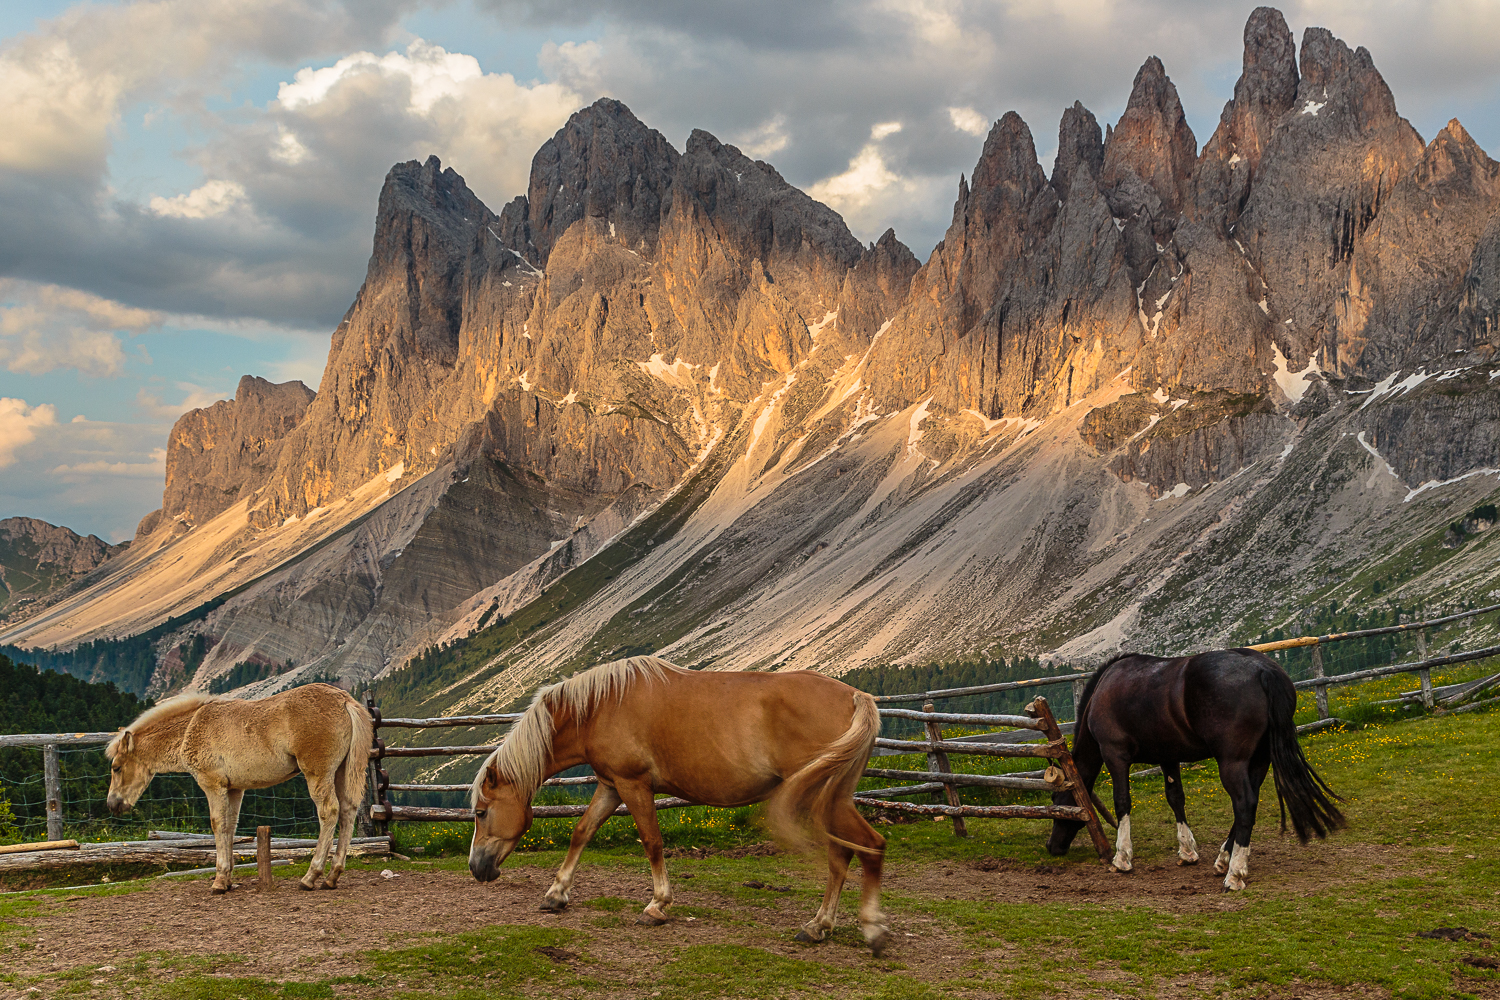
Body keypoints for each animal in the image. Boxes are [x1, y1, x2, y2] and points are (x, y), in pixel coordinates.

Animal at [105, 683, 373, 893]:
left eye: (116, 768)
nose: (112, 804)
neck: (191, 728)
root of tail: (344, 700)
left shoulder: (212, 785)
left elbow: (218, 824)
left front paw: (219, 881)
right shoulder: (234, 789)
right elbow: (230, 826)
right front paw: (228, 879)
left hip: (318, 773)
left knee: (329, 812)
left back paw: (310, 877)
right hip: (341, 771)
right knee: (348, 811)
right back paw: (332, 877)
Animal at [468, 655, 892, 954]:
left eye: (480, 812)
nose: (476, 868)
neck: (601, 706)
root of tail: (856, 697)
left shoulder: (634, 785)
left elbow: (652, 842)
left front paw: (657, 906)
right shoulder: (610, 786)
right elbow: (582, 832)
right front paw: (556, 894)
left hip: (827, 800)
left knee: (870, 846)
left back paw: (871, 928)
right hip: (832, 799)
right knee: (841, 856)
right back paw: (818, 926)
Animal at [1045, 648, 1344, 890]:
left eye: (1058, 802)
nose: (1052, 846)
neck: (1104, 689)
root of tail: (1263, 670)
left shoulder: (1114, 755)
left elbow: (1122, 802)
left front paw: (1122, 857)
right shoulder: (1168, 757)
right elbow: (1175, 798)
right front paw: (1187, 851)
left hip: (1232, 762)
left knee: (1244, 804)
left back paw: (1234, 874)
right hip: (1259, 761)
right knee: (1250, 803)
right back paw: (1224, 860)